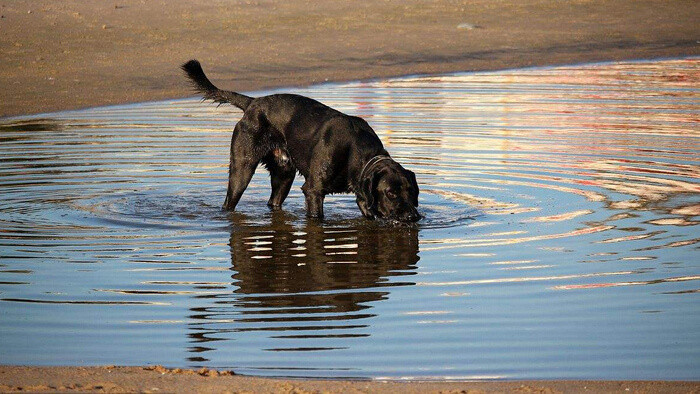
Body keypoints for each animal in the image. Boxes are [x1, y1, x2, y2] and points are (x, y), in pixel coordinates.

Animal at [183, 60, 418, 223]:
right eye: (390, 193)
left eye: (412, 191)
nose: (413, 217)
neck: (356, 151)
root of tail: (252, 102)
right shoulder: (313, 191)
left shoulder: (363, 199)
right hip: (242, 169)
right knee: (229, 202)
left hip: (284, 174)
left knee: (273, 202)